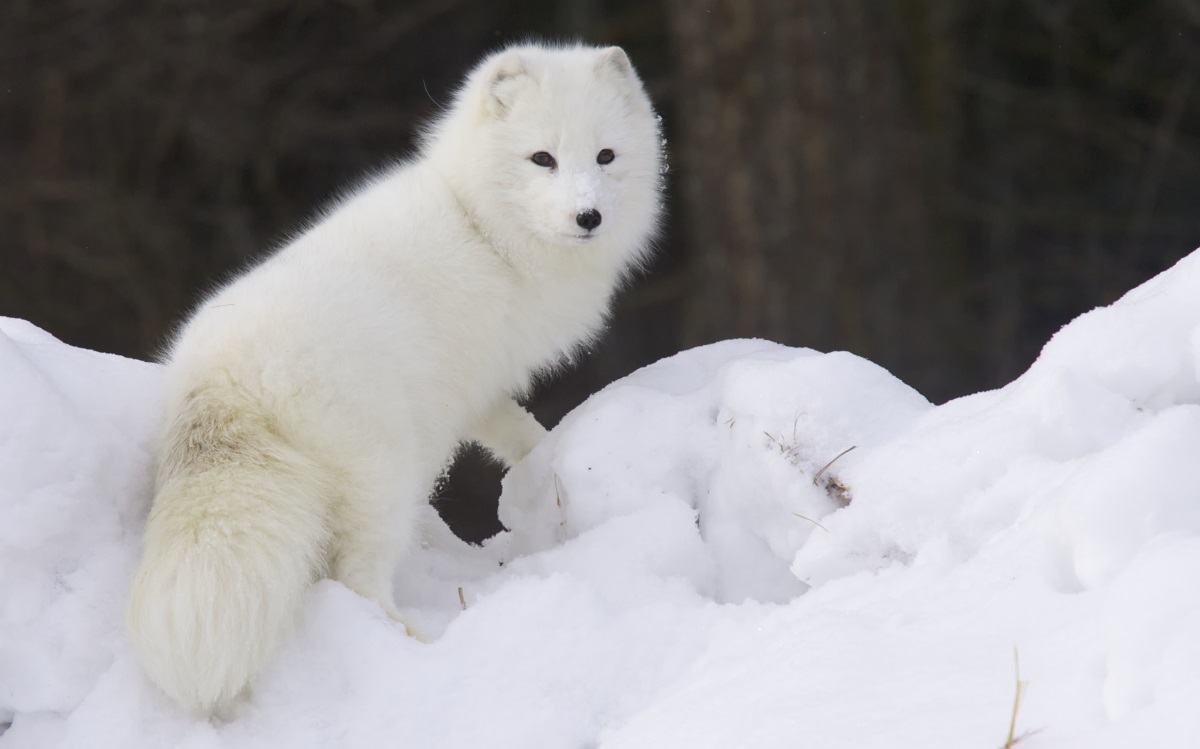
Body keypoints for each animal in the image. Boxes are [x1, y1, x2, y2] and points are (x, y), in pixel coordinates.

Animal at [129, 43, 667, 715]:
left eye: (605, 156)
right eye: (542, 158)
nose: (588, 216)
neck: (484, 230)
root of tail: (218, 379)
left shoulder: (478, 390)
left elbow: (518, 434)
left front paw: (547, 459)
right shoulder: (477, 377)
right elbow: (520, 430)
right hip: (384, 475)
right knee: (355, 578)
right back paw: (415, 645)